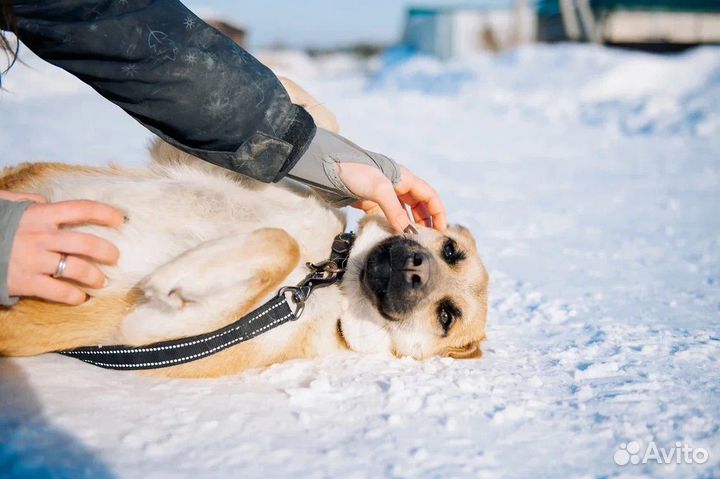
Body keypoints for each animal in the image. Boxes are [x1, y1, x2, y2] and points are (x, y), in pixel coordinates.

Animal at [0, 79, 490, 378]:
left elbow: (279, 242)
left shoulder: (152, 336)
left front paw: (178, 277)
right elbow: (309, 117)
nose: (415, 266)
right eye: (450, 249)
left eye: (447, 316)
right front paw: (380, 182)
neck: (330, 274)